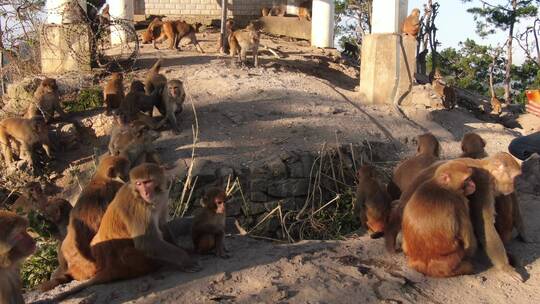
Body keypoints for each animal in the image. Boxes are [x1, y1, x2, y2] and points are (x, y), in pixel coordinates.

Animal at [46, 164, 201, 302]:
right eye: (139, 184)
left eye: (147, 182)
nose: (146, 193)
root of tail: (109, 268)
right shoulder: (137, 207)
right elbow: (147, 241)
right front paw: (185, 260)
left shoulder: (162, 198)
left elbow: (162, 226)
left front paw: (183, 249)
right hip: (127, 263)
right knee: (131, 252)